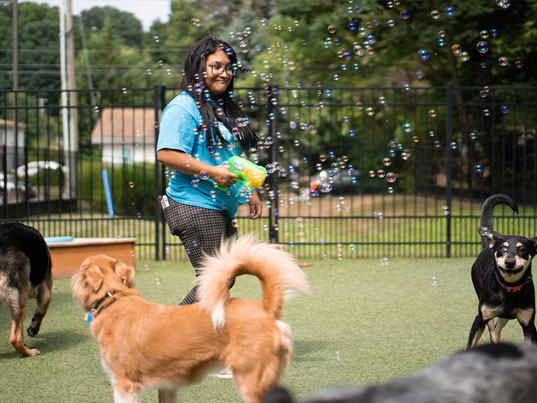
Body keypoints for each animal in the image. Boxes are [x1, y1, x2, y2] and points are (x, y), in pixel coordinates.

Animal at [0, 223, 52, 358]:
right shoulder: (46, 289)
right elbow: (43, 308)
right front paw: (33, 329)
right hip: (21, 300)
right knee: (14, 338)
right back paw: (30, 353)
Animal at [70, 237, 310, 403]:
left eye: (81, 269)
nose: (72, 275)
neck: (113, 299)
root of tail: (265, 307)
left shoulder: (124, 384)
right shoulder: (167, 386)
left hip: (252, 380)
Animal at [464, 195, 536, 350]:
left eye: (522, 249)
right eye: (503, 248)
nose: (509, 262)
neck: (509, 287)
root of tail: (488, 246)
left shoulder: (528, 324)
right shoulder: (480, 318)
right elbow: (470, 344)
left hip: (504, 316)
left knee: (497, 328)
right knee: (492, 328)